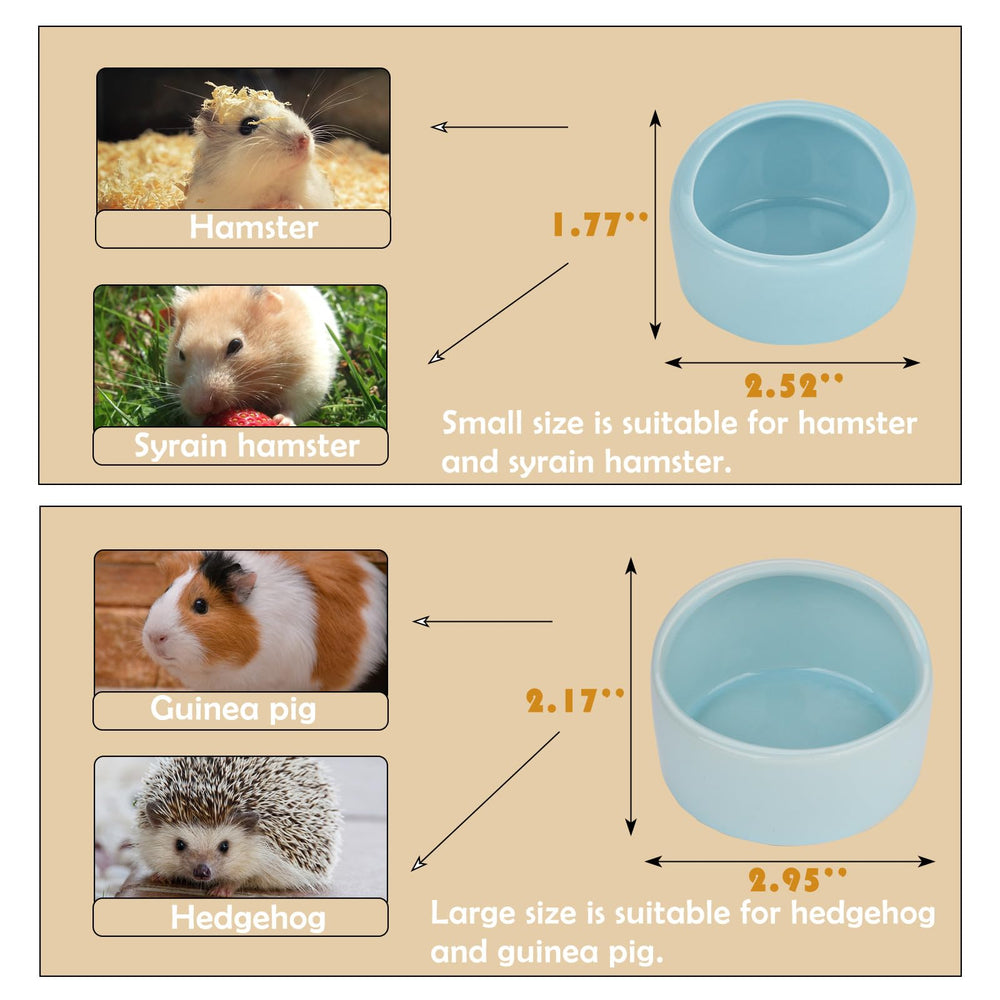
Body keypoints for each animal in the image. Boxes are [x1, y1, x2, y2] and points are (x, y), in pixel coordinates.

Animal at [167, 285, 338, 426]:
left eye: (235, 345)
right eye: (180, 353)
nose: (200, 407)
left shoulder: (308, 383)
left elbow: (294, 408)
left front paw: (281, 421)